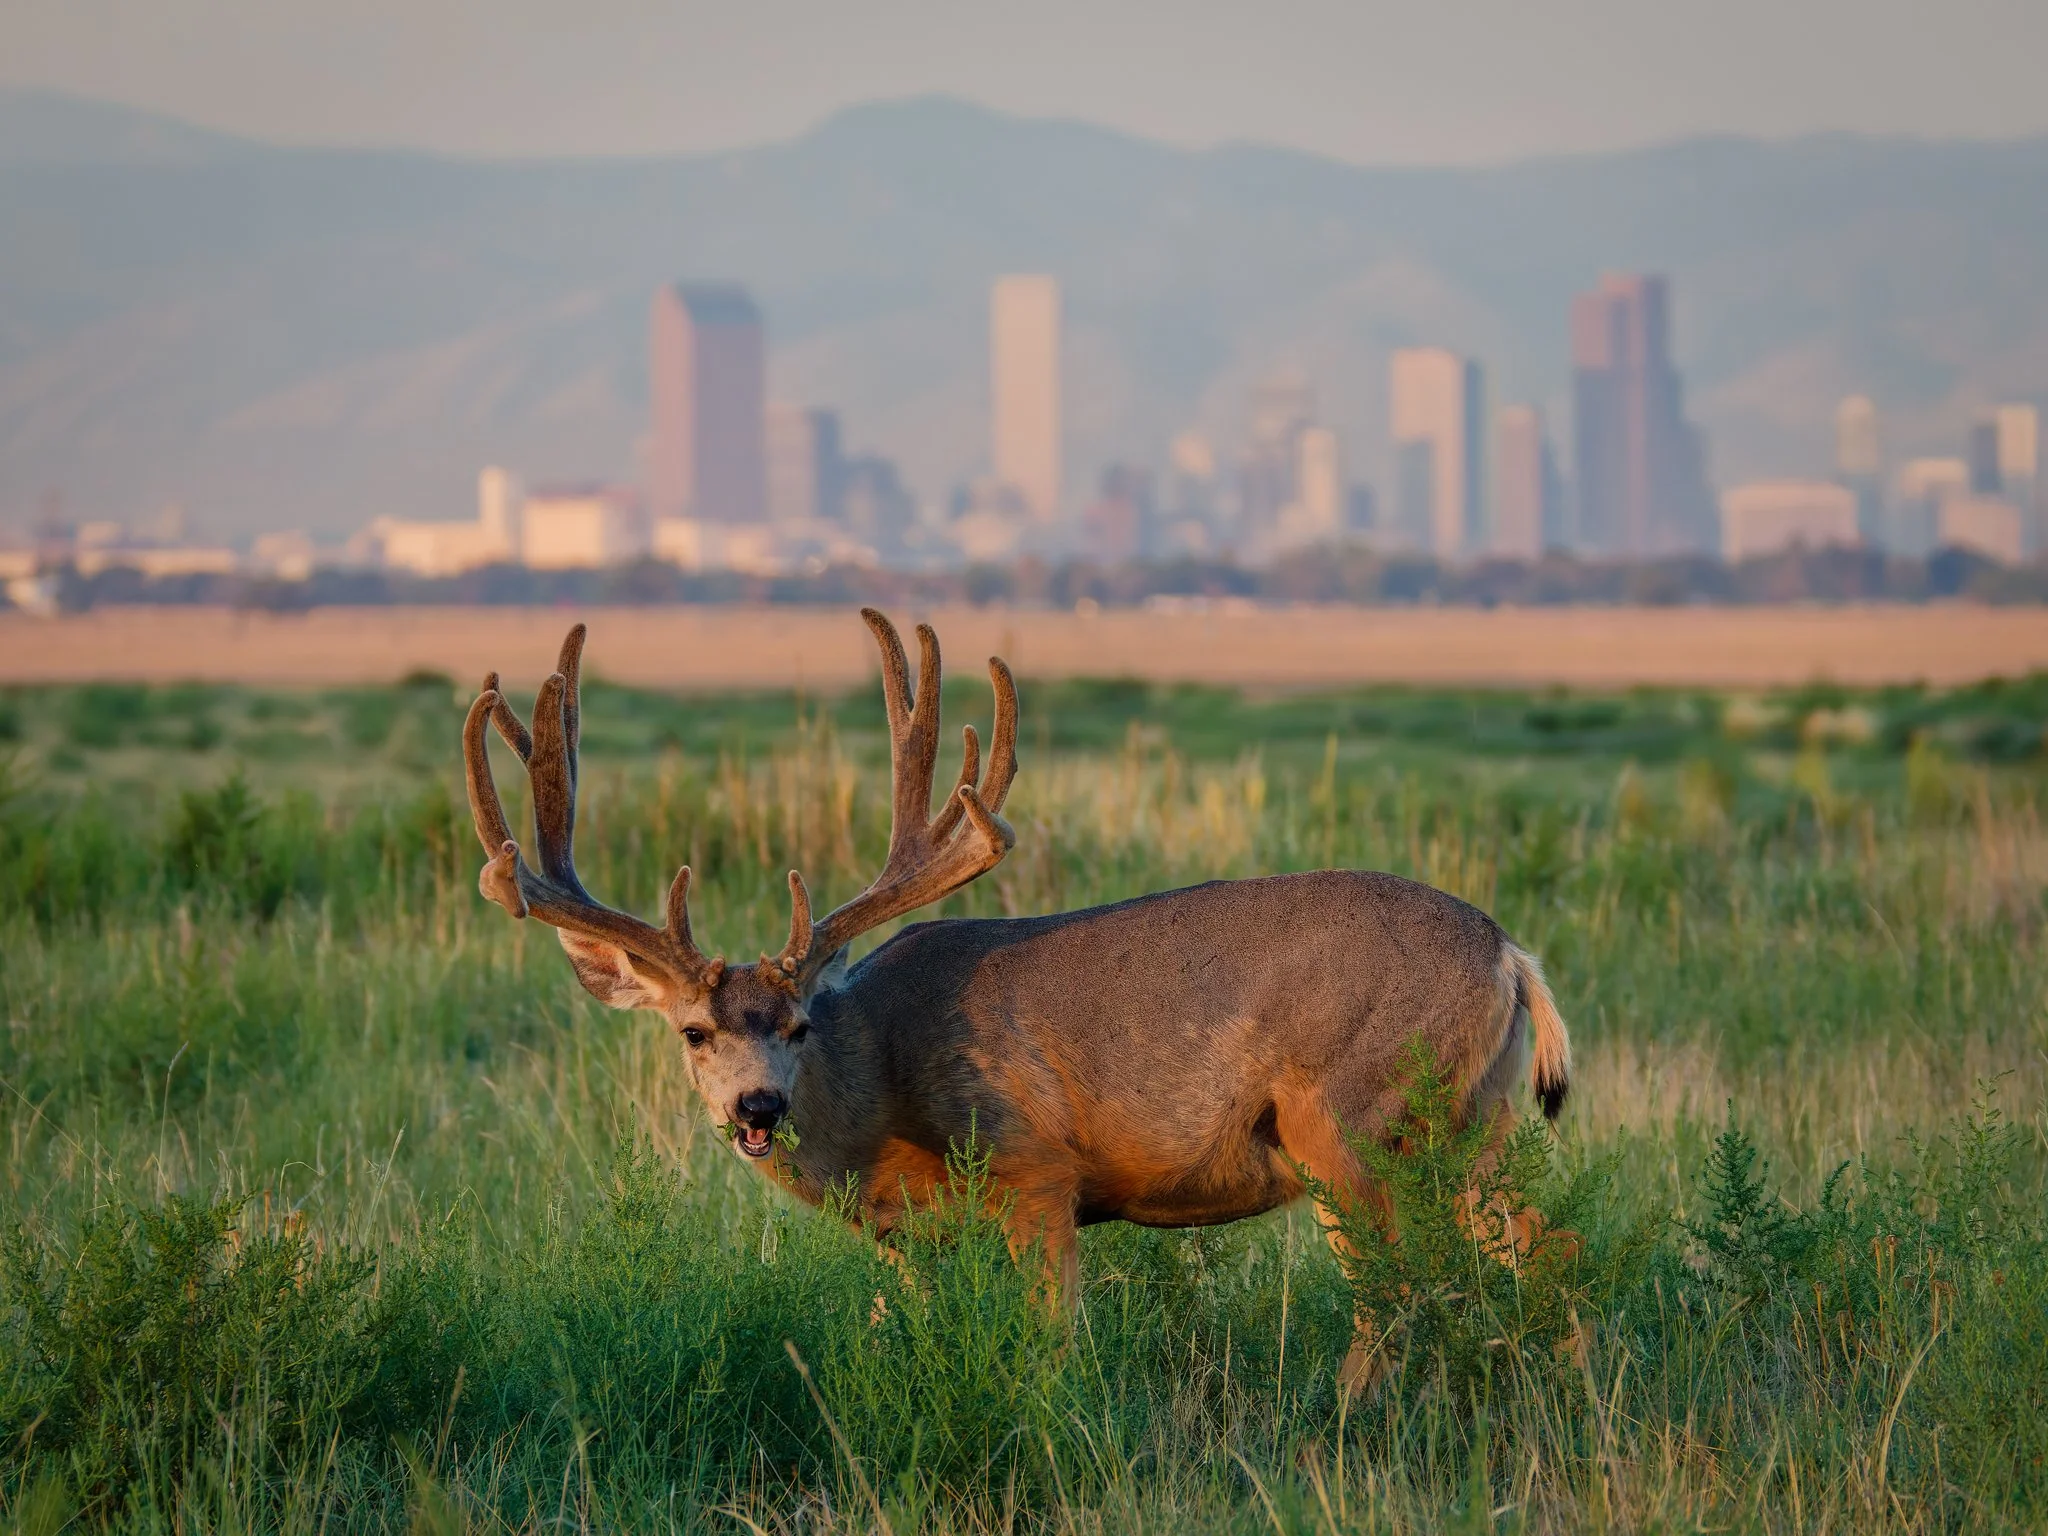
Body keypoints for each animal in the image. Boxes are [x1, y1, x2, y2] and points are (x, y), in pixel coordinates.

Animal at [461, 609, 1571, 1392]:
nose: (756, 1106)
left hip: (1350, 1119)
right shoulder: (912, 1236)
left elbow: (1054, 1341)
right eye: (693, 1032)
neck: (881, 1093)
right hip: (1475, 1121)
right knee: (1542, 1248)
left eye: (796, 1025)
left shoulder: (1033, 1167)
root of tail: (1510, 953)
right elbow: (902, 1337)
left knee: (1397, 1287)